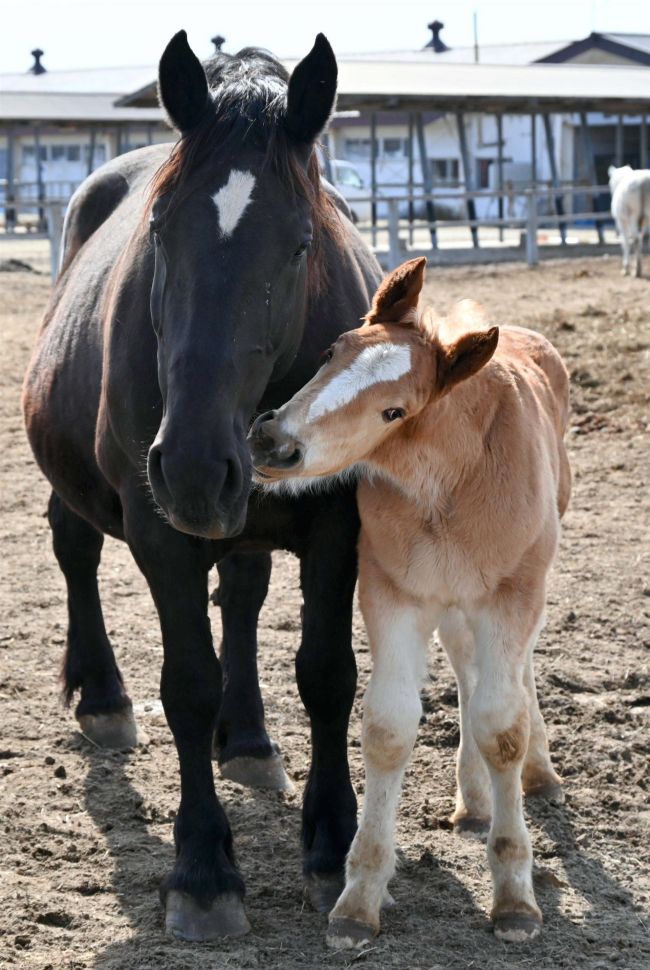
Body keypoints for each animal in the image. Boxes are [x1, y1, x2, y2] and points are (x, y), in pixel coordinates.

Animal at [22, 31, 382, 940]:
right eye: (159, 231)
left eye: (301, 242)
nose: (189, 463)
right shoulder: (164, 534)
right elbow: (187, 684)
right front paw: (203, 871)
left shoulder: (340, 526)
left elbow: (327, 674)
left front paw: (334, 846)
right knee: (75, 552)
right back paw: (103, 696)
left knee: (244, 597)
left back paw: (247, 739)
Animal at [249, 257, 571, 948]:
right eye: (331, 351)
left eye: (394, 411)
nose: (275, 444)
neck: (450, 478)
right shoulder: (393, 592)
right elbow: (388, 728)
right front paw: (357, 901)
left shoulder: (511, 596)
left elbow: (503, 728)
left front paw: (514, 899)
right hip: (450, 599)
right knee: (466, 667)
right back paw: (473, 801)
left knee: (515, 680)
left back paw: (539, 776)